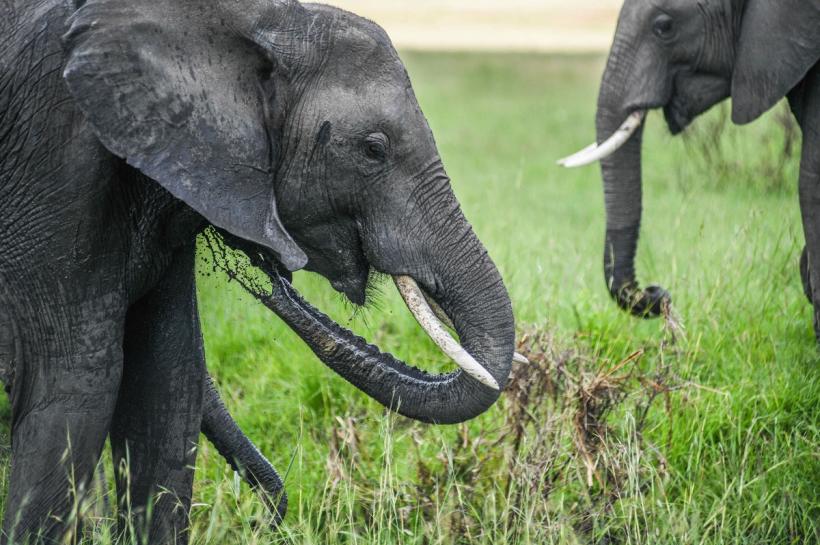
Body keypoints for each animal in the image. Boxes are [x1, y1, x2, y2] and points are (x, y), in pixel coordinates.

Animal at [0, 0, 517, 543]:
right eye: (373, 149)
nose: (264, 518)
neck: (252, 17)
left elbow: (167, 385)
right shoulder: (55, 158)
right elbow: (72, 390)